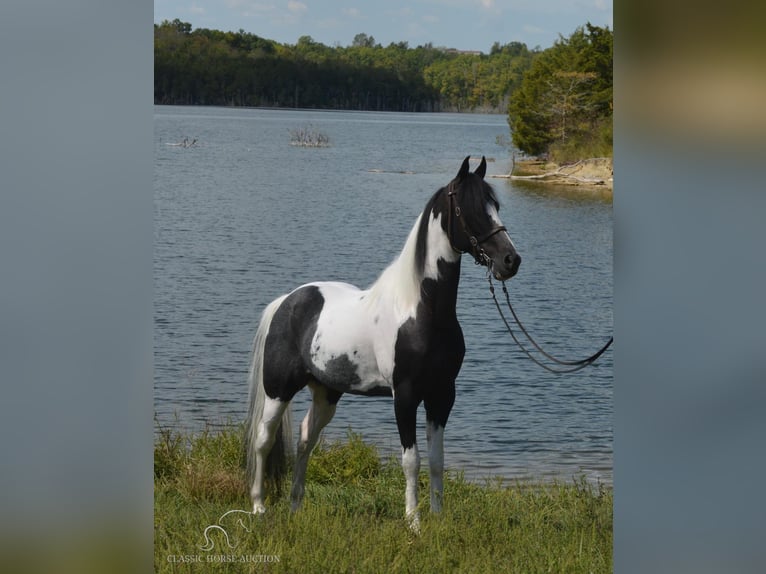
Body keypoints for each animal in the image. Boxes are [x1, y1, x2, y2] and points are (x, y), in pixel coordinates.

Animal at [246, 156, 520, 532]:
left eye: (496, 206)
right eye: (470, 208)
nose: (510, 260)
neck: (419, 311)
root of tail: (287, 301)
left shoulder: (442, 395)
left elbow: (437, 460)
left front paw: (437, 519)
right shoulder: (404, 396)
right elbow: (411, 461)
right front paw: (414, 523)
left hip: (326, 392)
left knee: (305, 439)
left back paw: (295, 506)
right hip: (278, 389)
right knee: (264, 438)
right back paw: (259, 506)